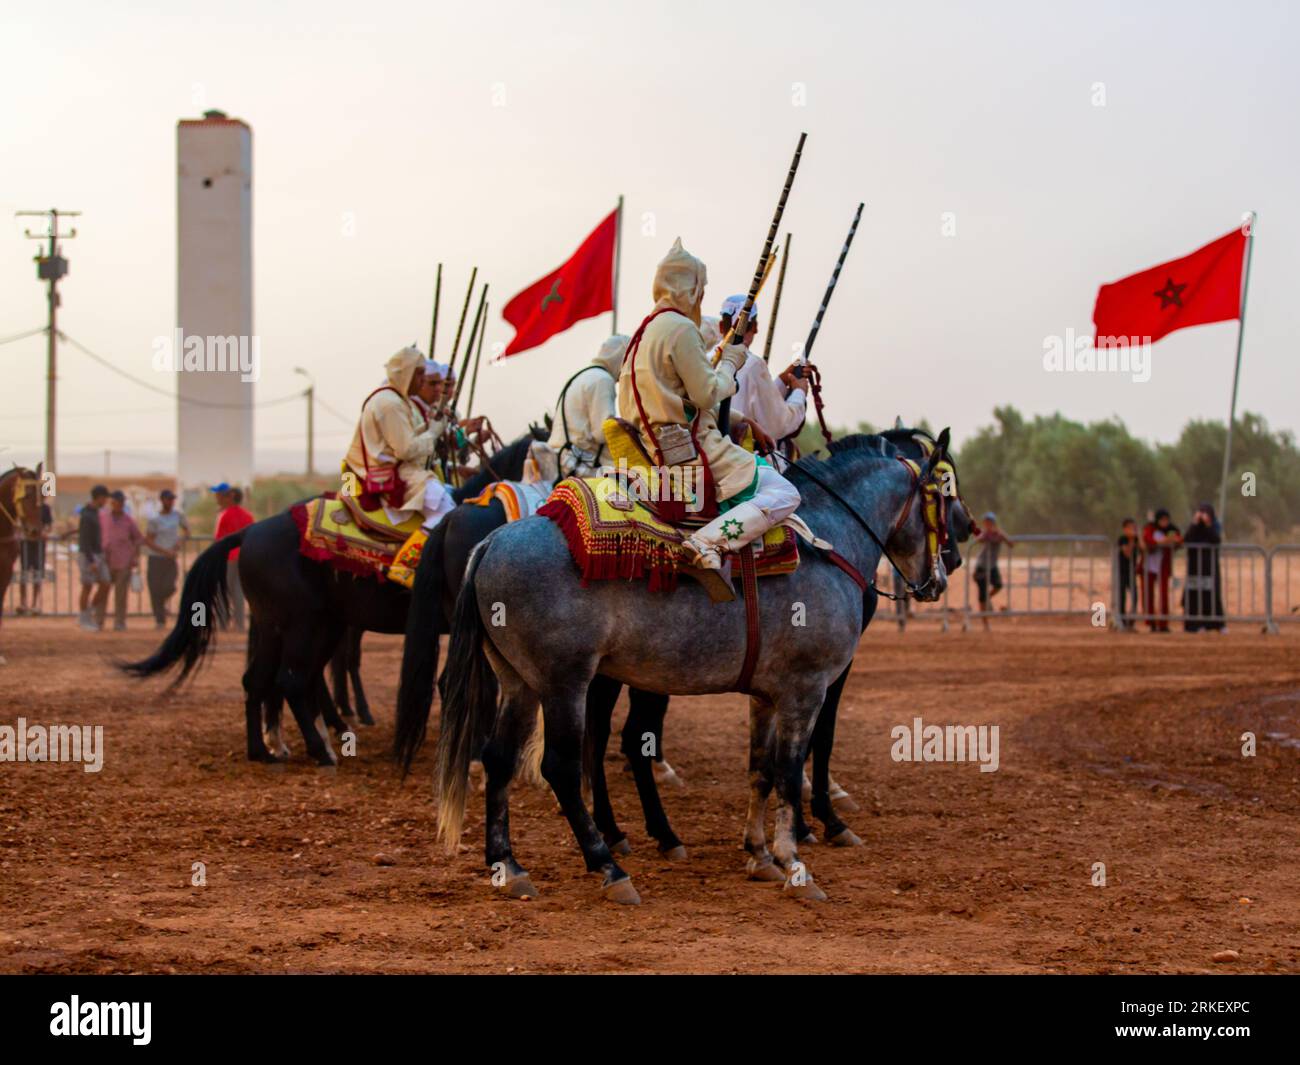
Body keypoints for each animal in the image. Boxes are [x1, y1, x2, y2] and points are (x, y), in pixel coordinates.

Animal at [122, 426, 543, 764]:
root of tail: (251, 531)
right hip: (304, 625)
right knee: (294, 679)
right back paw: (321, 746)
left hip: (292, 624)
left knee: (267, 679)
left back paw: (271, 747)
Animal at [434, 429, 956, 905]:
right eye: (944, 500)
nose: (942, 577)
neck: (829, 546)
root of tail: (492, 541)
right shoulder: (805, 690)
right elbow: (790, 773)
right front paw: (794, 863)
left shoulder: (766, 697)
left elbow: (760, 771)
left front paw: (759, 855)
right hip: (564, 683)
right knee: (562, 767)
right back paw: (608, 866)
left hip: (519, 683)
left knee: (500, 759)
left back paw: (508, 865)